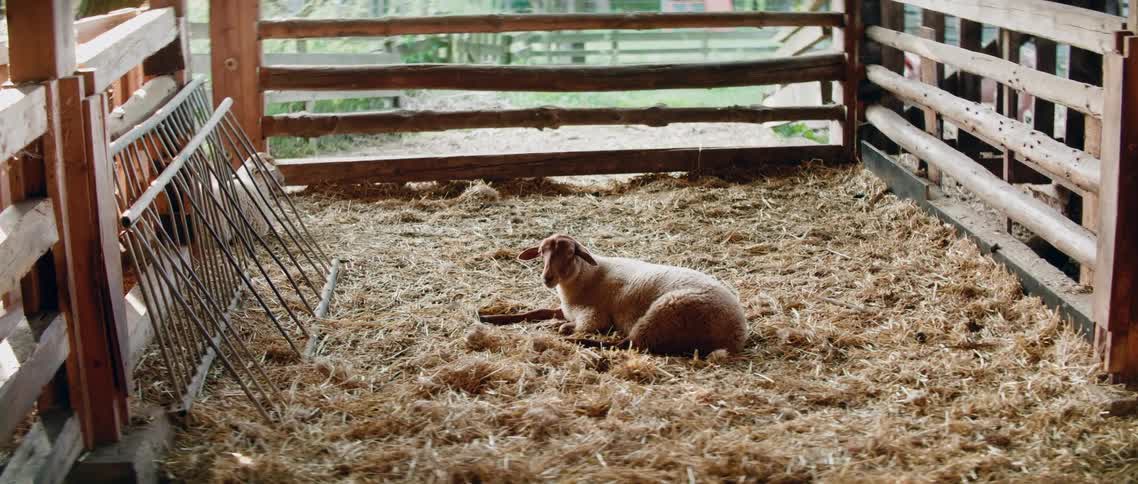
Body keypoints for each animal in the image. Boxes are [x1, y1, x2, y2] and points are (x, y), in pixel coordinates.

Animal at [480, 234, 748, 355]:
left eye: (570, 253)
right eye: (541, 253)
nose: (547, 278)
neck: (585, 277)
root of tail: (737, 333)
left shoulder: (594, 316)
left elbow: (576, 326)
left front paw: (558, 329)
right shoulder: (565, 309)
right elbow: (537, 311)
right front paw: (489, 318)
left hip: (667, 312)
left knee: (629, 344)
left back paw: (569, 341)